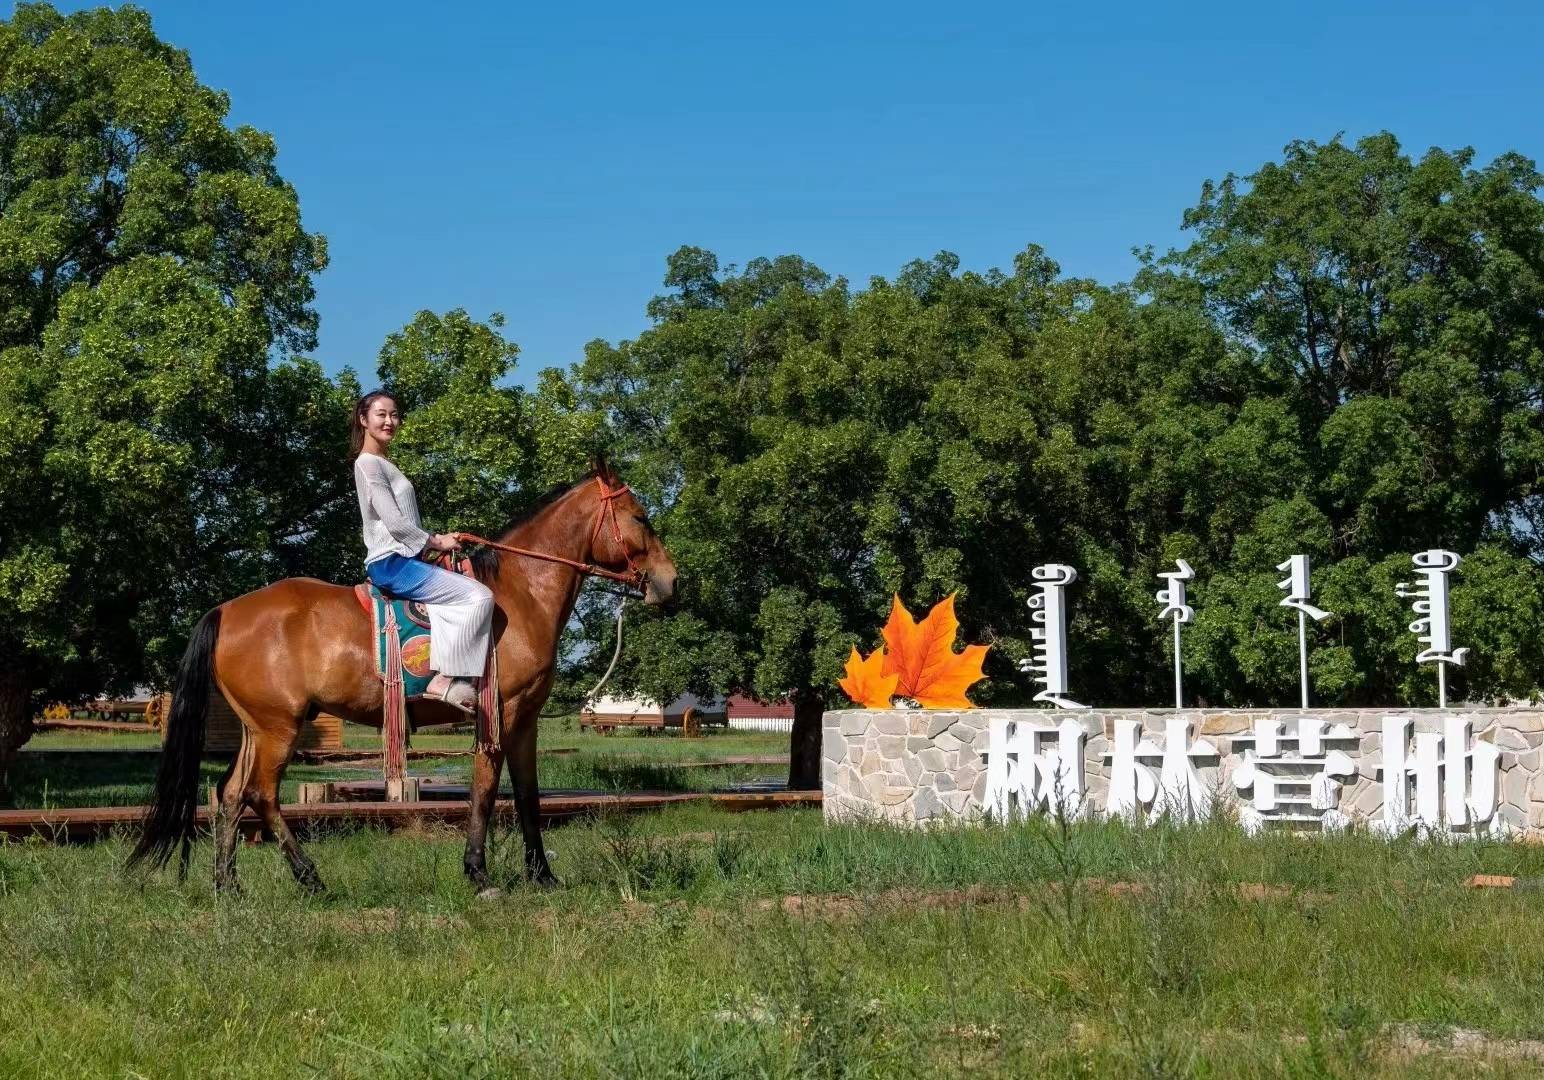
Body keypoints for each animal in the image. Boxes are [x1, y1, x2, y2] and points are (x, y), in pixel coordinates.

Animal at [135, 463, 679, 896]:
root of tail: (227, 610)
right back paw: (309, 877)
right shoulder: (497, 715)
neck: (520, 594)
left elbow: (528, 796)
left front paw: (542, 876)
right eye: (640, 517)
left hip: (258, 728)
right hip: (279, 729)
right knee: (261, 795)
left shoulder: (525, 721)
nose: (671, 582)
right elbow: (485, 792)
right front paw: (478, 873)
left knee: (230, 796)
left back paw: (227, 885)